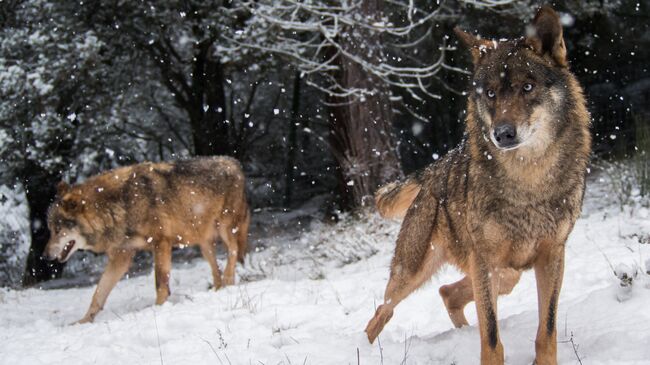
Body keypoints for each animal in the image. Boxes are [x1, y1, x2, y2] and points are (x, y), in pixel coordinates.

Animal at [43, 155, 249, 322]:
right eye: (50, 230)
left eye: (58, 230)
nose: (44, 256)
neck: (120, 205)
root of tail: (234, 162)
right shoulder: (121, 257)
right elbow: (98, 293)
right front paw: (83, 321)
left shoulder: (161, 243)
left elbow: (160, 283)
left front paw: (158, 309)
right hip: (204, 244)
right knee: (216, 269)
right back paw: (219, 289)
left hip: (225, 228)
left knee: (233, 251)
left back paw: (229, 280)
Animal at [362, 6, 588, 364]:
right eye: (491, 93)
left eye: (527, 87)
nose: (503, 134)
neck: (528, 180)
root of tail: (434, 169)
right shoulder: (485, 260)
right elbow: (492, 337)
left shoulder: (553, 254)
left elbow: (547, 330)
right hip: (413, 273)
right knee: (381, 313)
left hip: (505, 274)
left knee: (447, 292)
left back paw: (462, 333)